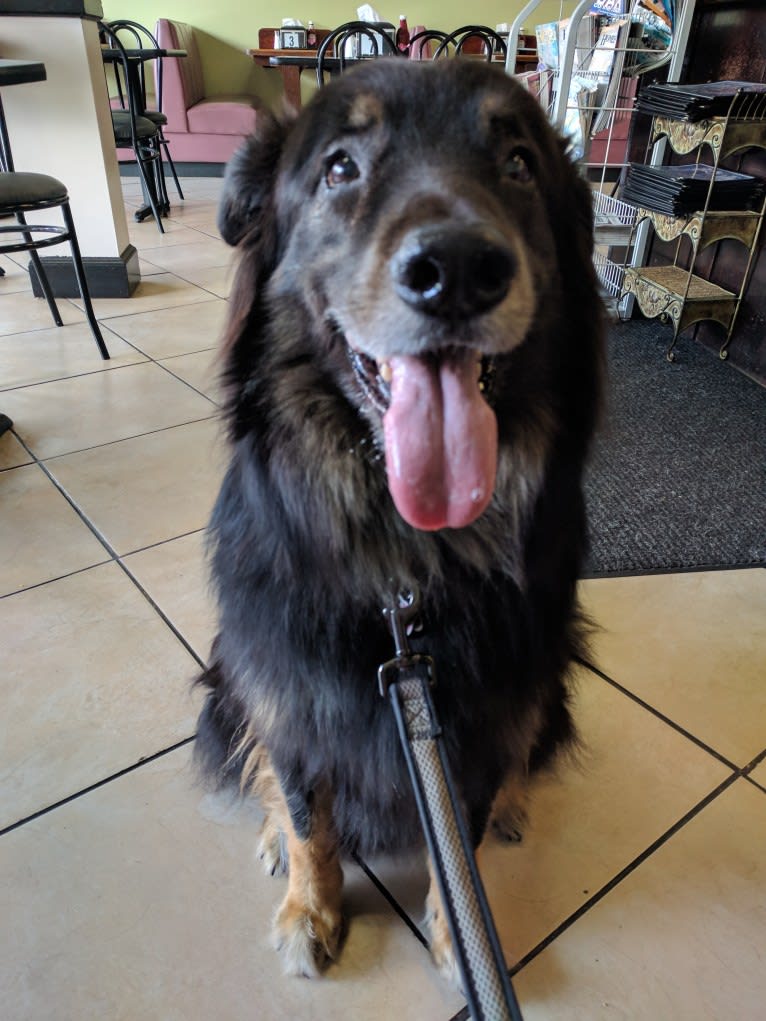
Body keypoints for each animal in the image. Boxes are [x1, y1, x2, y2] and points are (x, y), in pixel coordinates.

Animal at [195, 55, 604, 980]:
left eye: (519, 164)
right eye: (340, 168)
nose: (456, 269)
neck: (404, 569)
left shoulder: (482, 709)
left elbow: (467, 830)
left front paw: (465, 933)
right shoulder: (290, 689)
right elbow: (308, 815)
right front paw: (311, 909)